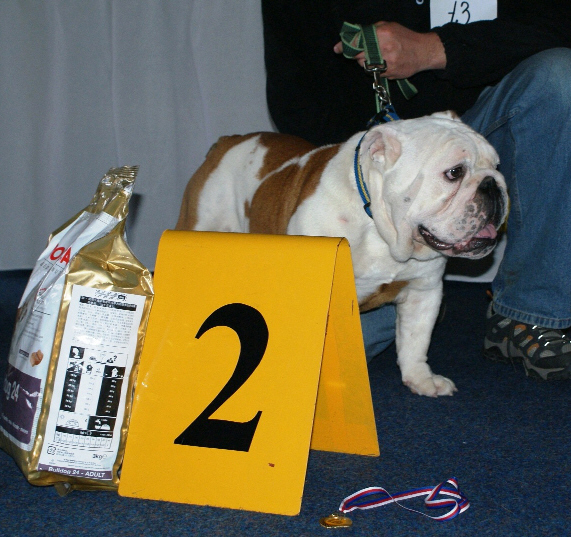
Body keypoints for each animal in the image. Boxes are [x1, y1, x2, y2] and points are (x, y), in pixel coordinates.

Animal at [175, 112, 508, 396]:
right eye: (454, 173)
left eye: (497, 166)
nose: (493, 185)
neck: (379, 226)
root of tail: (228, 141)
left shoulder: (423, 291)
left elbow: (415, 341)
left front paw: (420, 379)